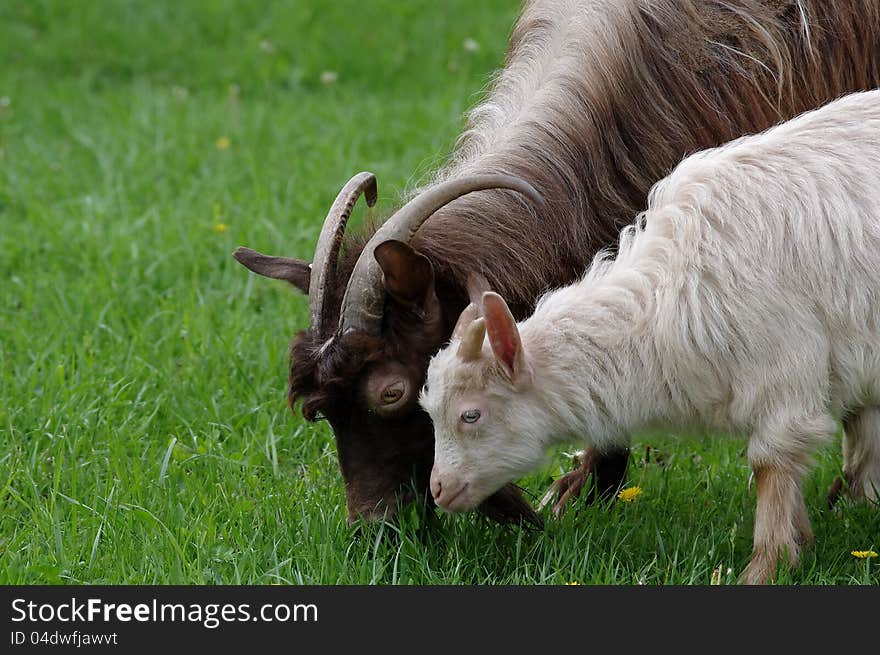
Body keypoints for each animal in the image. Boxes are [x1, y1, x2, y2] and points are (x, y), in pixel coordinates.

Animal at [418, 87, 880, 584]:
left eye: (471, 415)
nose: (439, 489)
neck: (668, 301)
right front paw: (801, 542)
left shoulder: (784, 370)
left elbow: (770, 463)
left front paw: (765, 565)